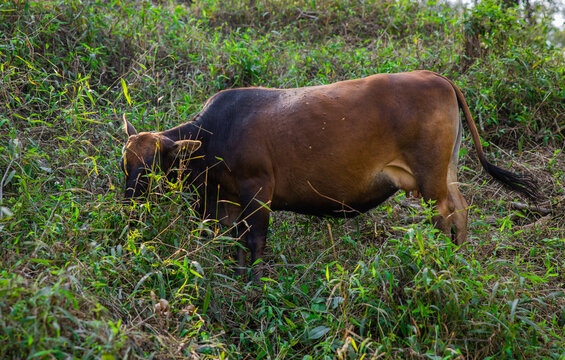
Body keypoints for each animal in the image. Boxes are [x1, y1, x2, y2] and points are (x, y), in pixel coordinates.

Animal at [120, 71, 536, 278]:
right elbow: (231, 242)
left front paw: (253, 287)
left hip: (430, 177)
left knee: (447, 217)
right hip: (444, 172)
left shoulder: (258, 191)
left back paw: (443, 263)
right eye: (125, 165)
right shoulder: (224, 198)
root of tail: (434, 76)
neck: (213, 135)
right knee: (459, 212)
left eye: (151, 167)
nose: (128, 204)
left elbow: (254, 243)